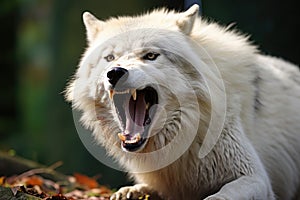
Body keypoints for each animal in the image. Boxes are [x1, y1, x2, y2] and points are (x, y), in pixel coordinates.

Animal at [66, 4, 300, 200]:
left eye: (151, 55)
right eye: (110, 58)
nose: (114, 72)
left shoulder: (255, 177)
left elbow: (221, 195)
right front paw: (129, 192)